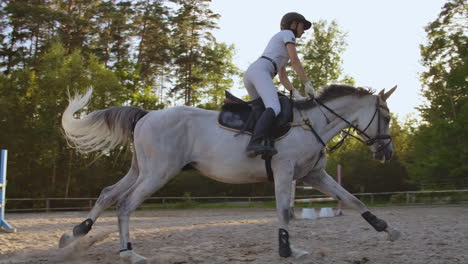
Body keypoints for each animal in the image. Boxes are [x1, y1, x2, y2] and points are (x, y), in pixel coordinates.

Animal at [60, 84, 400, 262]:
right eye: (385, 117)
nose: (387, 154)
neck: (310, 124)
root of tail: (148, 114)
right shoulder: (285, 171)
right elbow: (284, 212)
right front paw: (286, 249)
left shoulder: (313, 177)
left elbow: (353, 200)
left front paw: (387, 229)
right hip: (158, 172)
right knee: (125, 204)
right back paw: (128, 252)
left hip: (141, 169)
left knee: (108, 195)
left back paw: (75, 233)